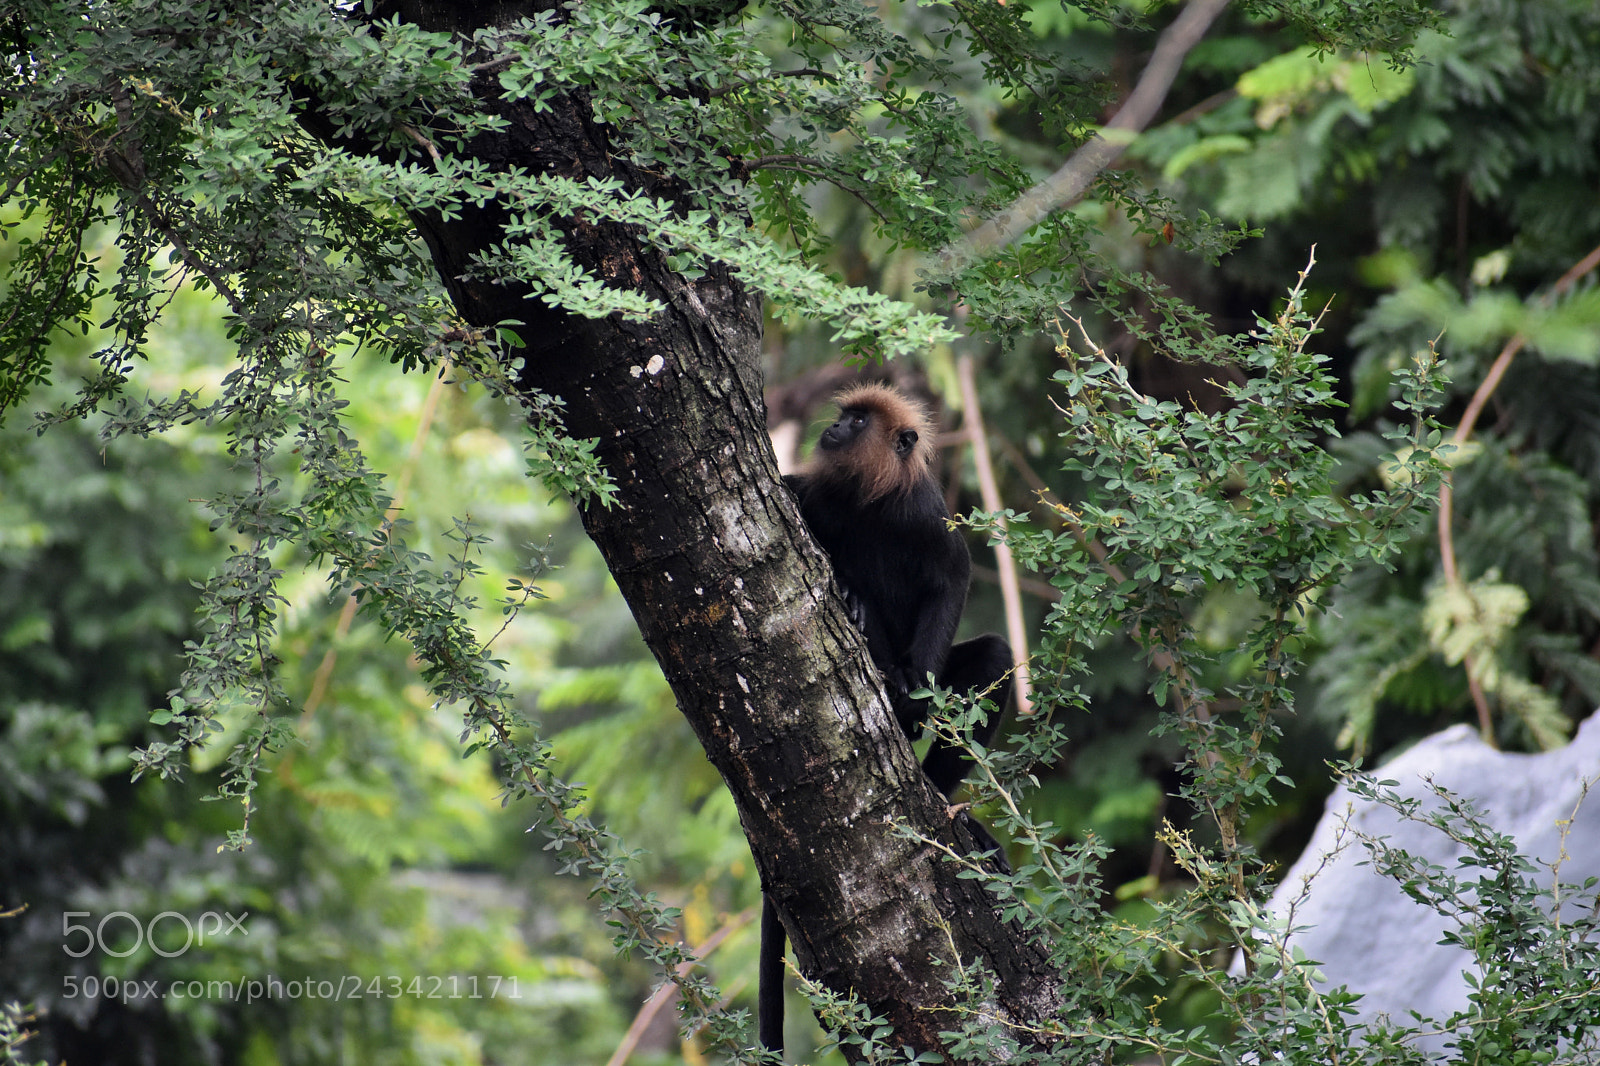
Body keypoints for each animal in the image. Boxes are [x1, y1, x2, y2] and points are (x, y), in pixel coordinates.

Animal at [759, 382, 1013, 1055]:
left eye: (858, 422)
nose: (835, 427)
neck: (866, 501)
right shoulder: (814, 496)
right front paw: (854, 596)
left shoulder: (922, 513)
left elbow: (953, 577)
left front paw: (916, 691)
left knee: (992, 655)